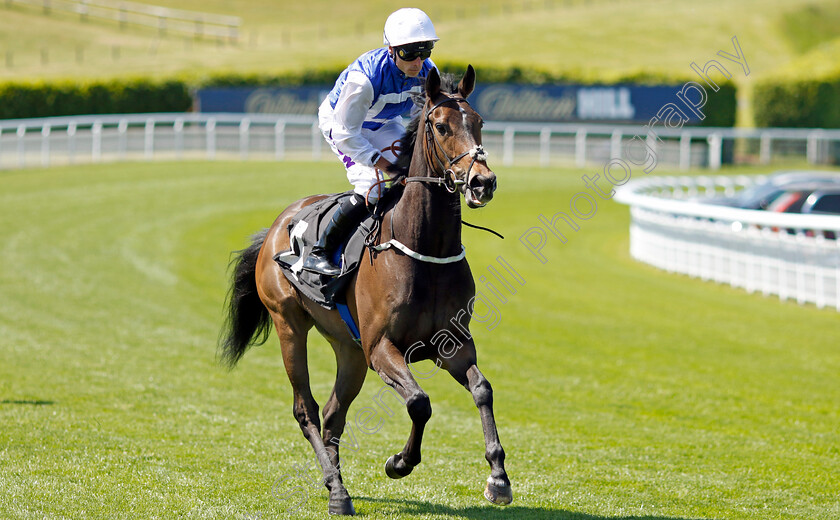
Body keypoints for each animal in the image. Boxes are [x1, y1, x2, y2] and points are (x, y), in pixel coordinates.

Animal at [220, 66, 512, 516]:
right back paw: (338, 493)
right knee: (306, 410)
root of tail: (276, 226)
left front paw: (498, 477)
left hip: (349, 350)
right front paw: (399, 462)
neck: (425, 249)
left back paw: (334, 484)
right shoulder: (382, 348)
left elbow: (483, 390)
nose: (483, 182)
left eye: (479, 122)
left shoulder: (451, 344)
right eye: (441, 126)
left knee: (333, 414)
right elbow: (419, 402)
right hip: (290, 326)